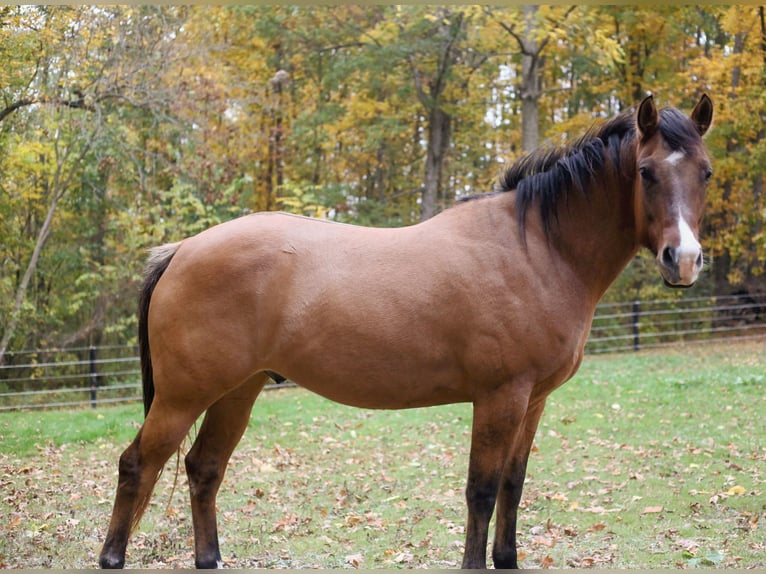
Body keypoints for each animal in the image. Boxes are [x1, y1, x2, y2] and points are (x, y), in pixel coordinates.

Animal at [99, 94, 713, 569]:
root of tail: (182, 250)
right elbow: (481, 492)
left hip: (236, 392)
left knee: (204, 470)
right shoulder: (500, 398)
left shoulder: (533, 400)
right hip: (183, 397)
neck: (536, 250)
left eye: (705, 172)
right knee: (138, 465)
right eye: (646, 172)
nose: (682, 261)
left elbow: (512, 488)